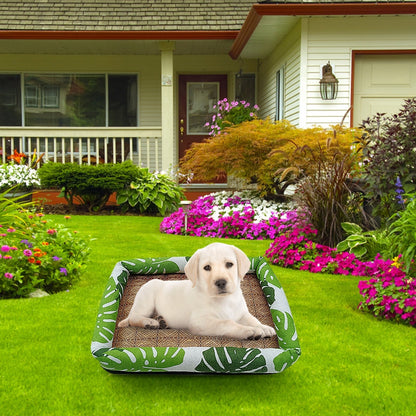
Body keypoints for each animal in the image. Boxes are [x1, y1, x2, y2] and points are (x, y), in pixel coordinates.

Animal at [117, 242, 274, 340]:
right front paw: (250, 331)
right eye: (207, 268)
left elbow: (253, 319)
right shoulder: (200, 322)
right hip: (146, 299)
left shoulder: (241, 312)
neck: (224, 300)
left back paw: (161, 321)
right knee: (133, 317)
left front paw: (263, 327)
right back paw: (149, 322)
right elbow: (226, 323)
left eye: (229, 264)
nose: (221, 282)